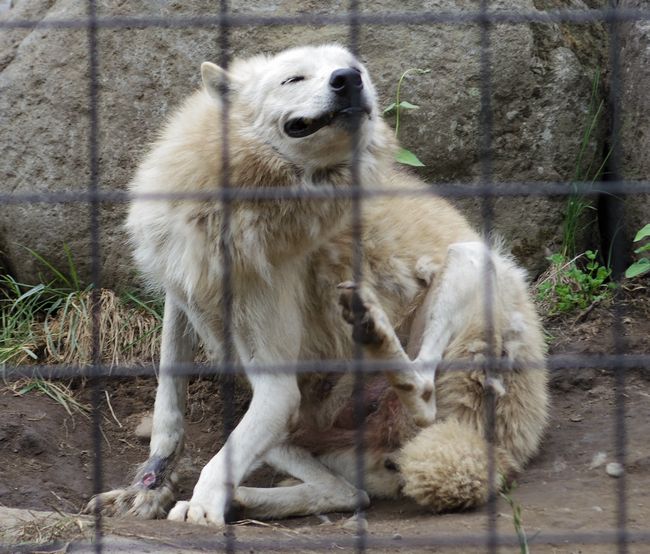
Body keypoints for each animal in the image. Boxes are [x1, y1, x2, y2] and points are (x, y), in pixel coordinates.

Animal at [86, 45, 548, 524]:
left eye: (356, 71)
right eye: (294, 78)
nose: (348, 80)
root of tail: (495, 447)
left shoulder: (277, 385)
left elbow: (217, 461)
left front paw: (201, 507)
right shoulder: (182, 292)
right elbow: (168, 408)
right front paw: (148, 487)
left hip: (473, 261)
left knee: (419, 393)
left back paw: (370, 329)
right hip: (294, 439)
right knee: (347, 491)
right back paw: (245, 498)